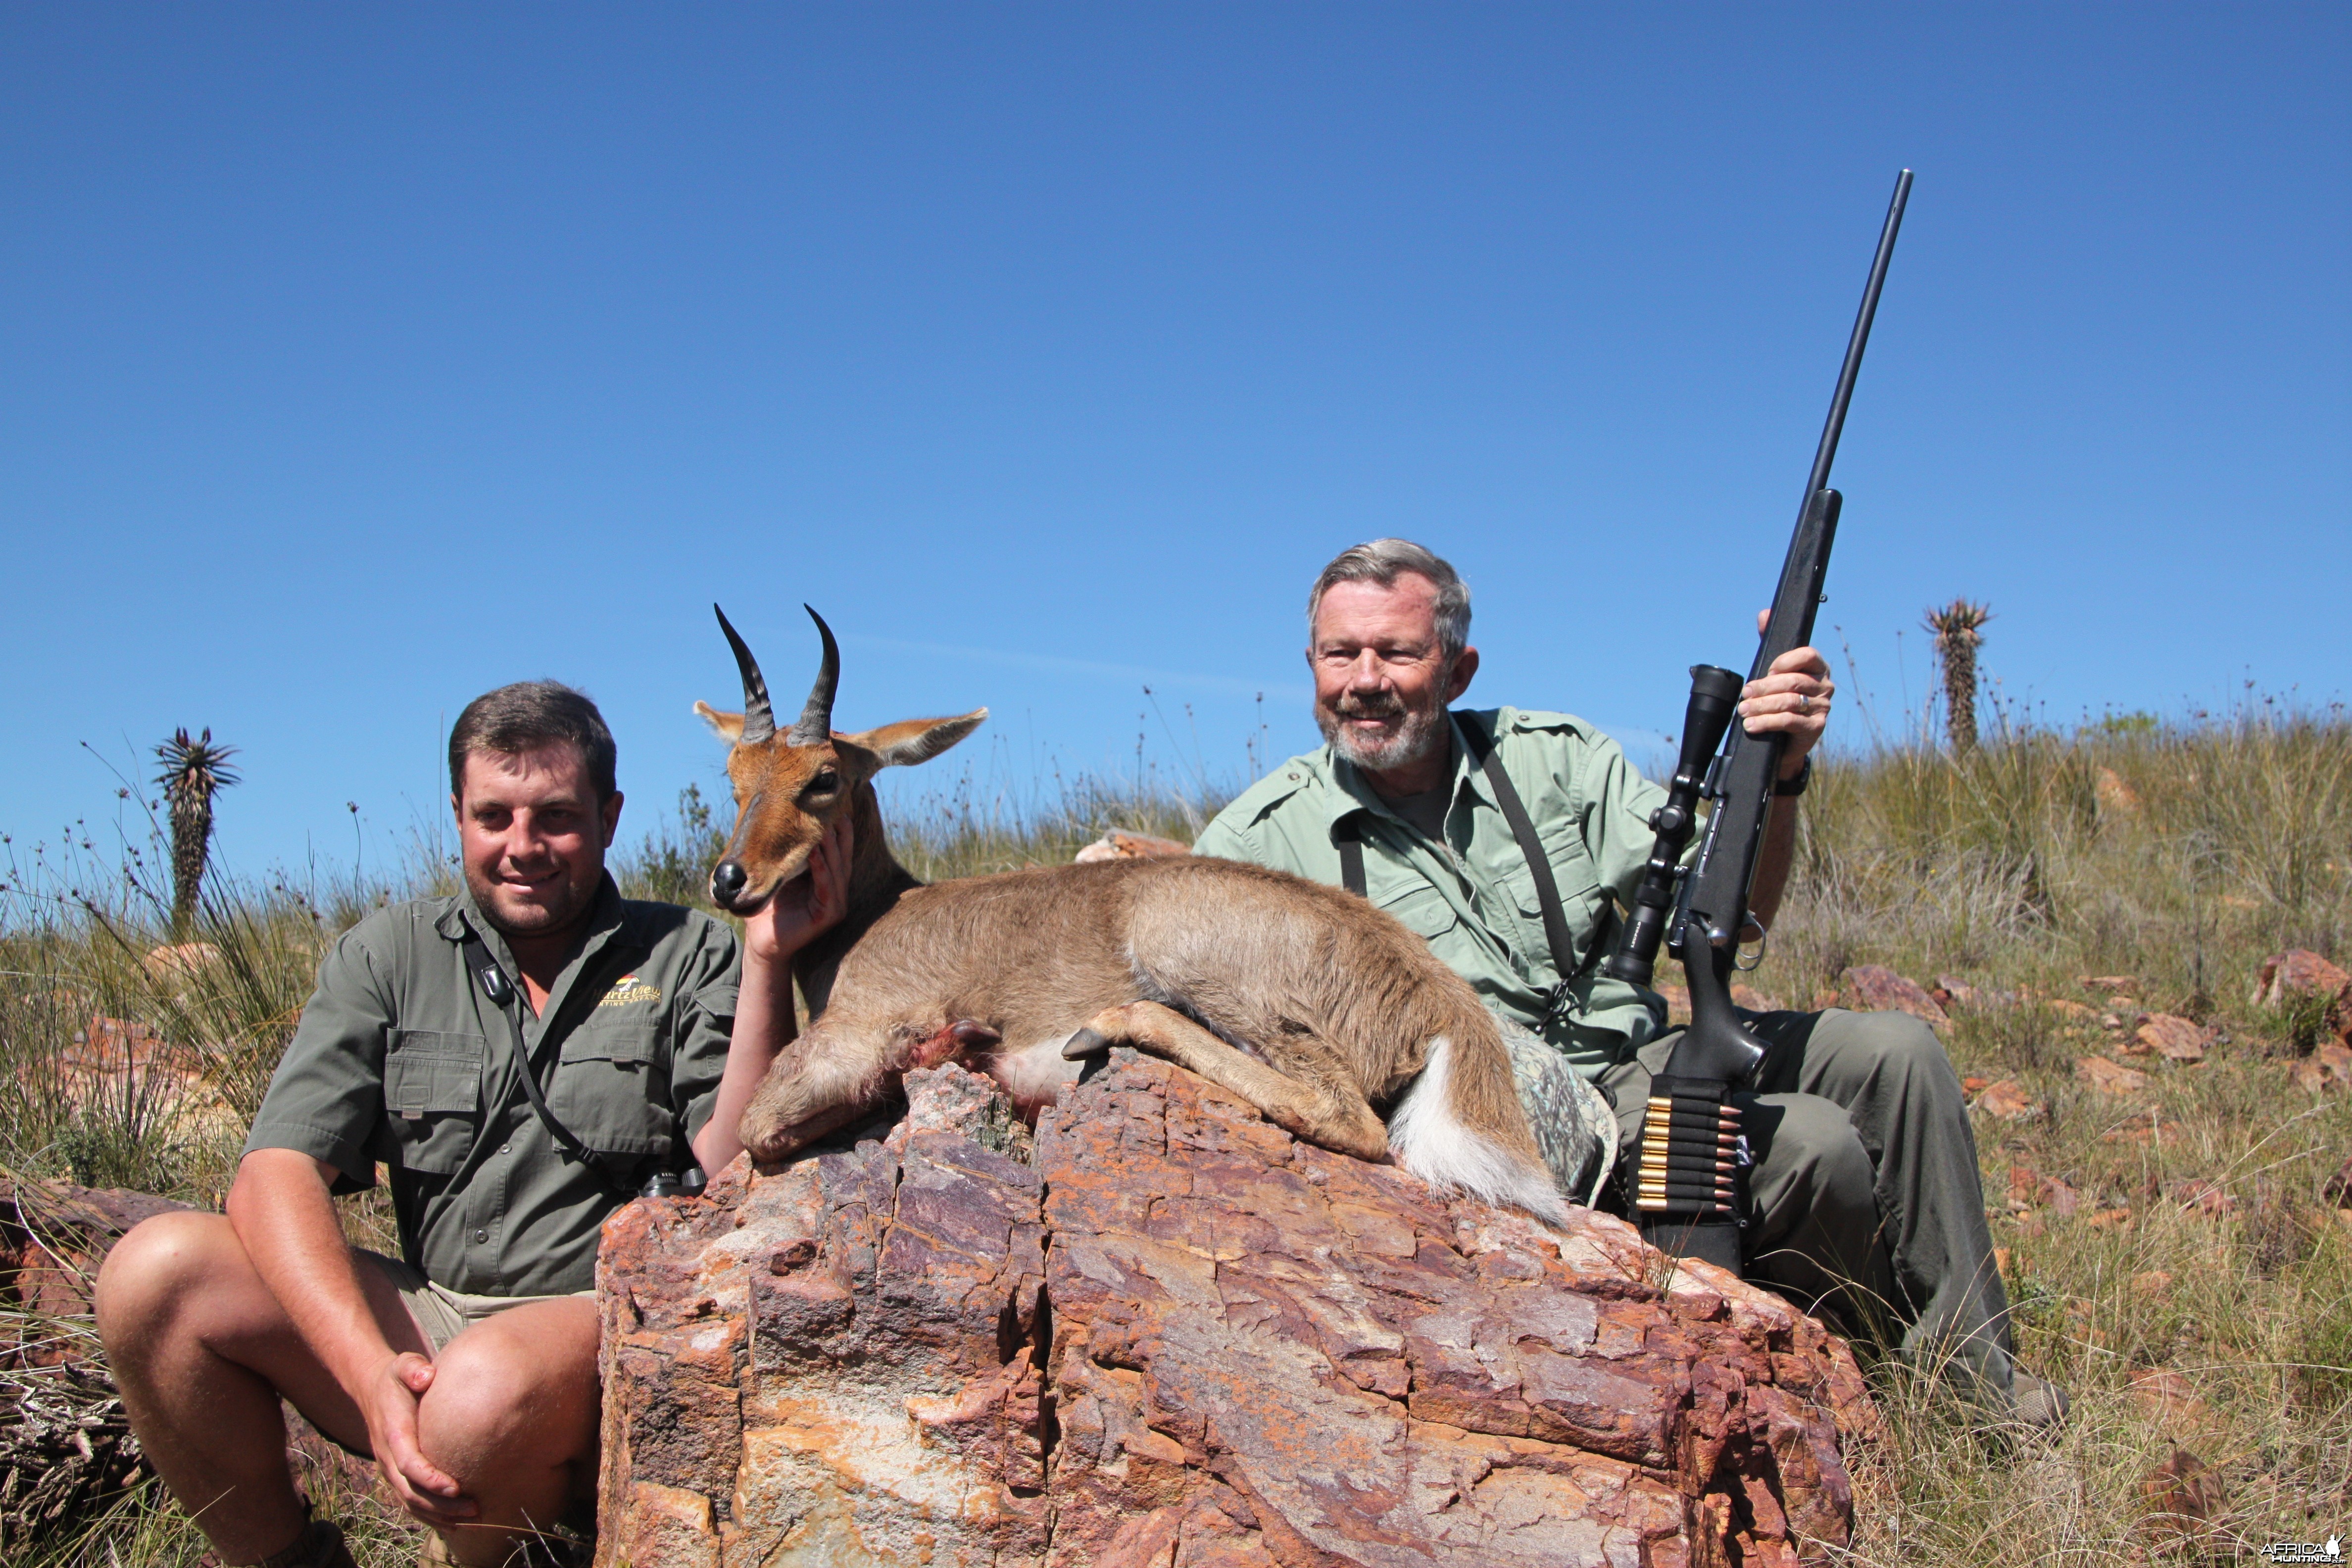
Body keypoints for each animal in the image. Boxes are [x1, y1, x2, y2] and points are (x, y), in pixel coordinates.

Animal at [705, 601, 1571, 1222]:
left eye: (823, 777)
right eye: (734, 773)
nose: (729, 880)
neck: (881, 909)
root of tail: (1440, 999)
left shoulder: (850, 1039)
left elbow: (757, 1129)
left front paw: (955, 1043)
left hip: (1195, 967)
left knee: (1346, 1117)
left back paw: (1102, 1028)